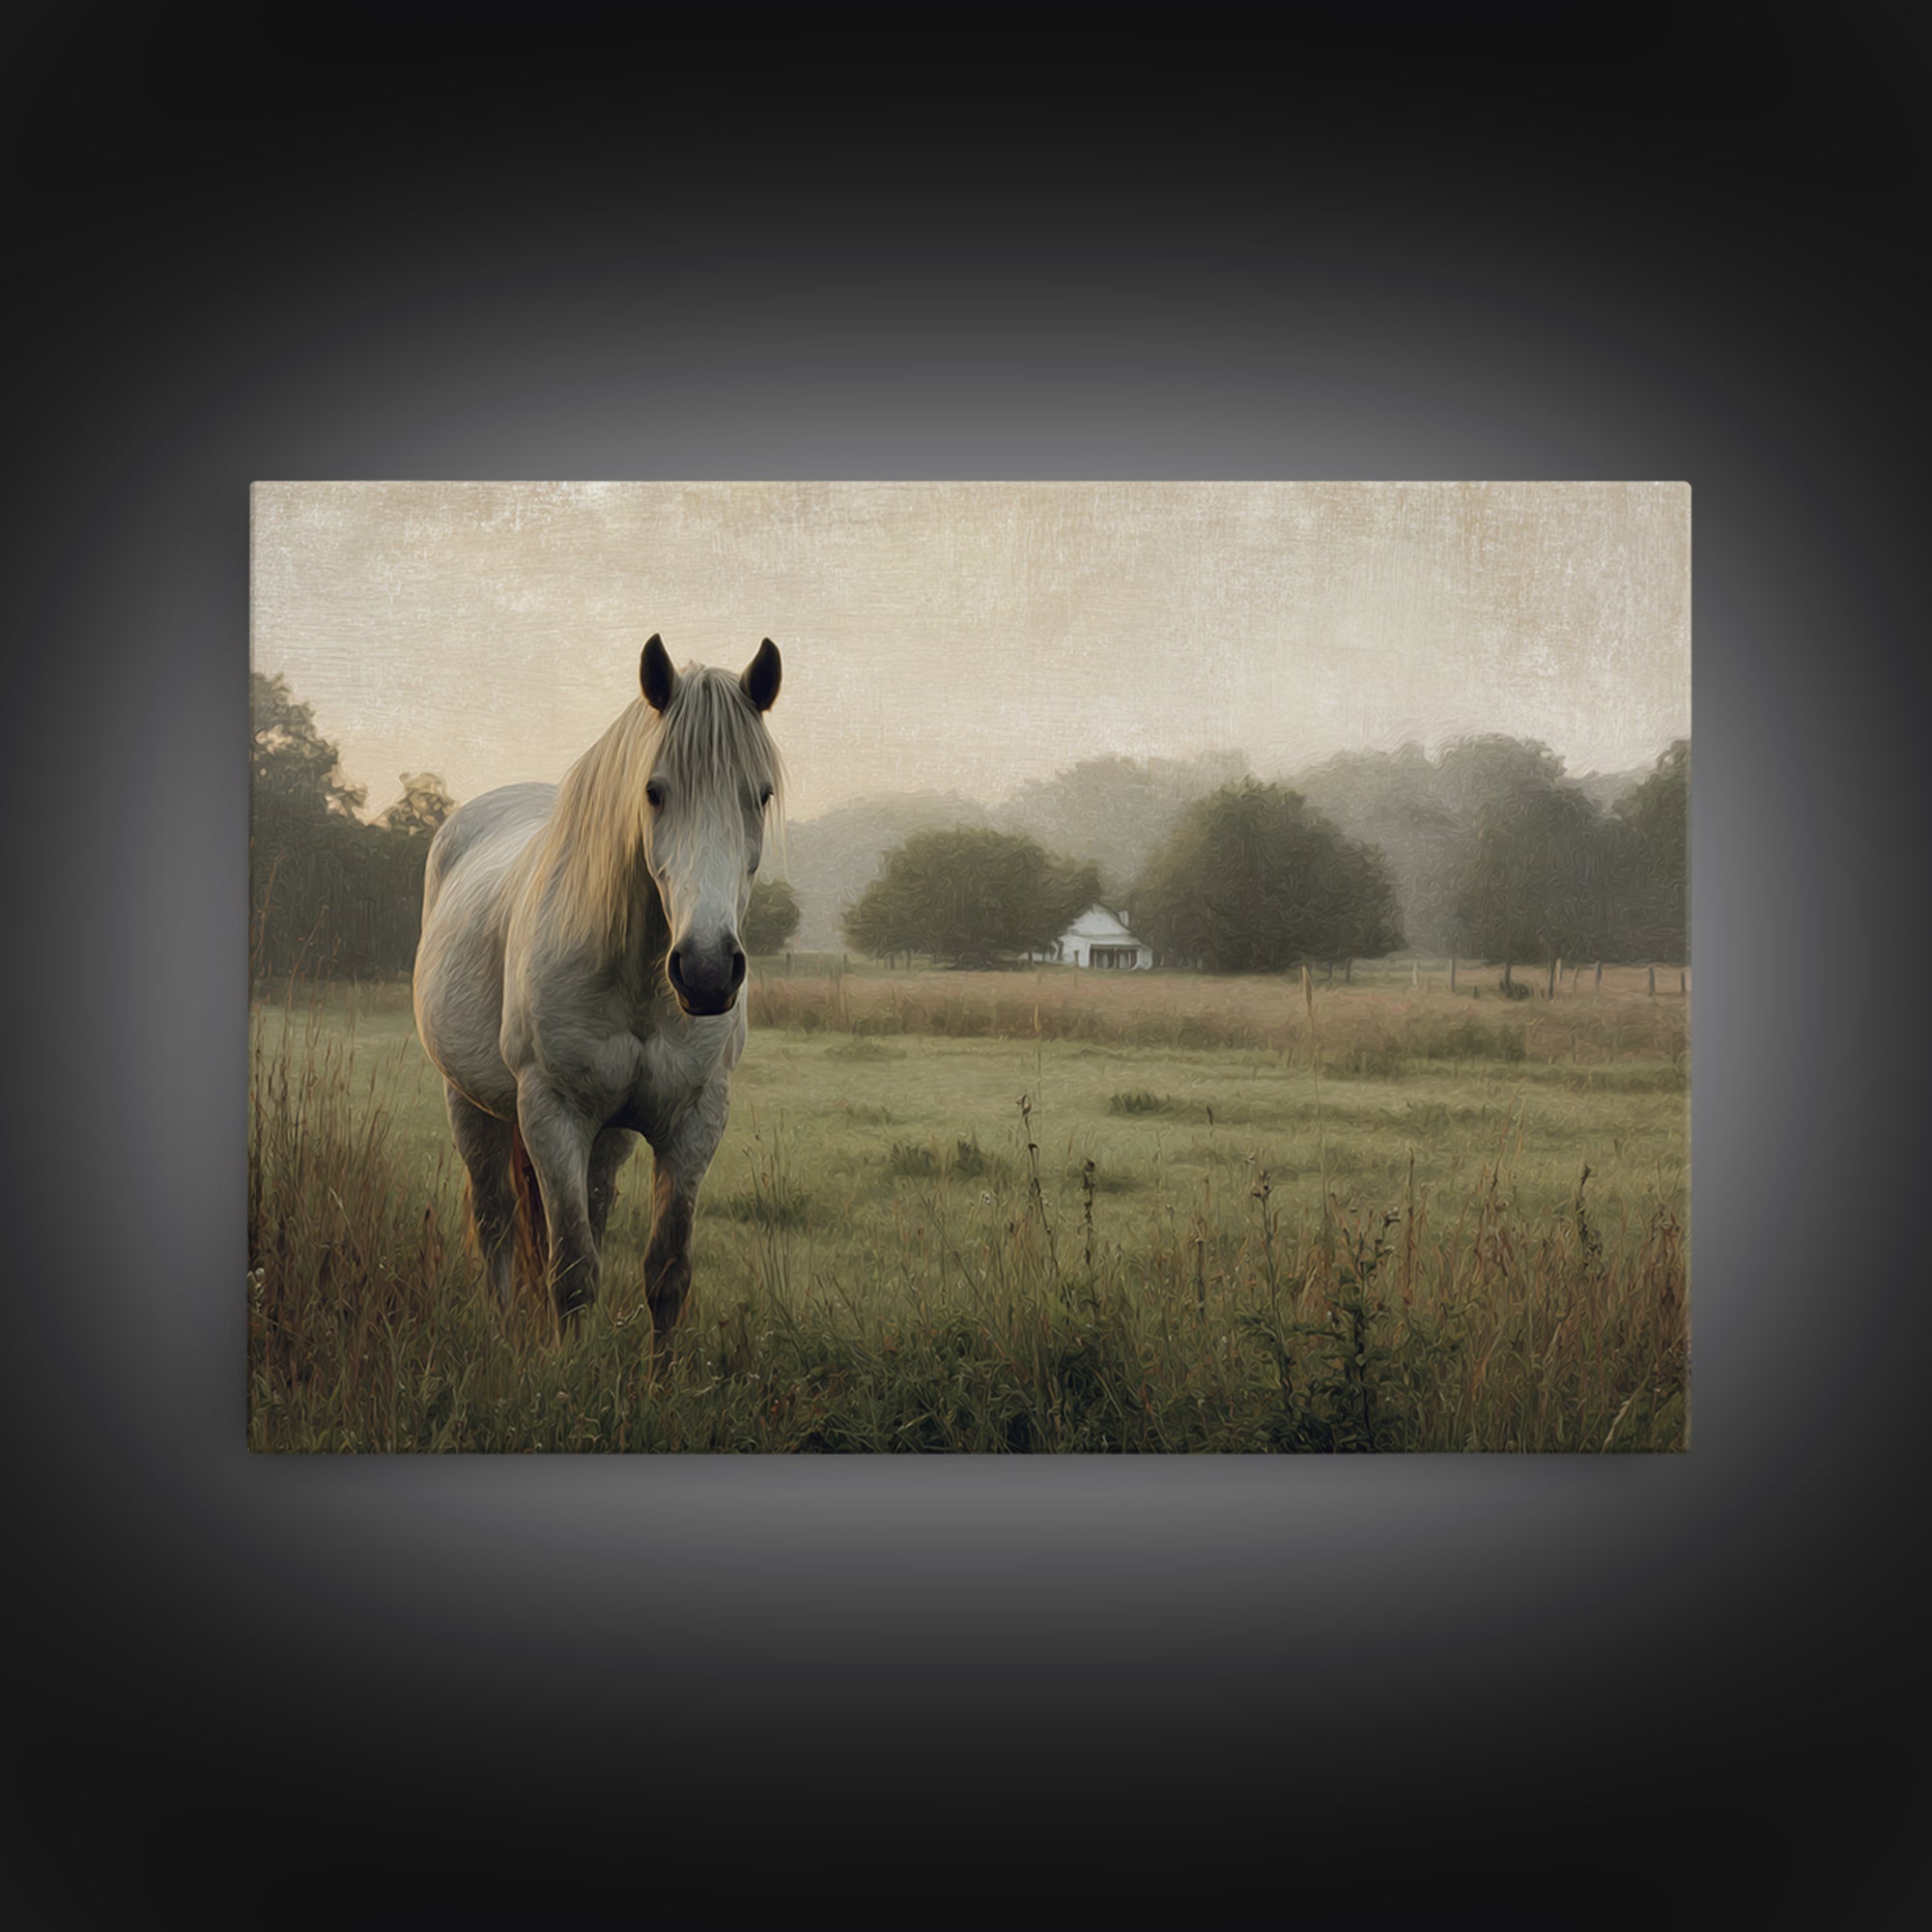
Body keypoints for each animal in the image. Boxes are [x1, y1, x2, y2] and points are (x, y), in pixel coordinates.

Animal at [412, 634, 784, 1343]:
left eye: (761, 794)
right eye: (654, 792)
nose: (706, 970)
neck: (638, 983)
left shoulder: (695, 1121)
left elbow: (666, 1273)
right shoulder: (552, 1113)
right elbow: (572, 1275)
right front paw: (567, 1369)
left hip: (607, 1134)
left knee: (592, 1206)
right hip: (468, 1104)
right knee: (497, 1220)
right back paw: (503, 1336)